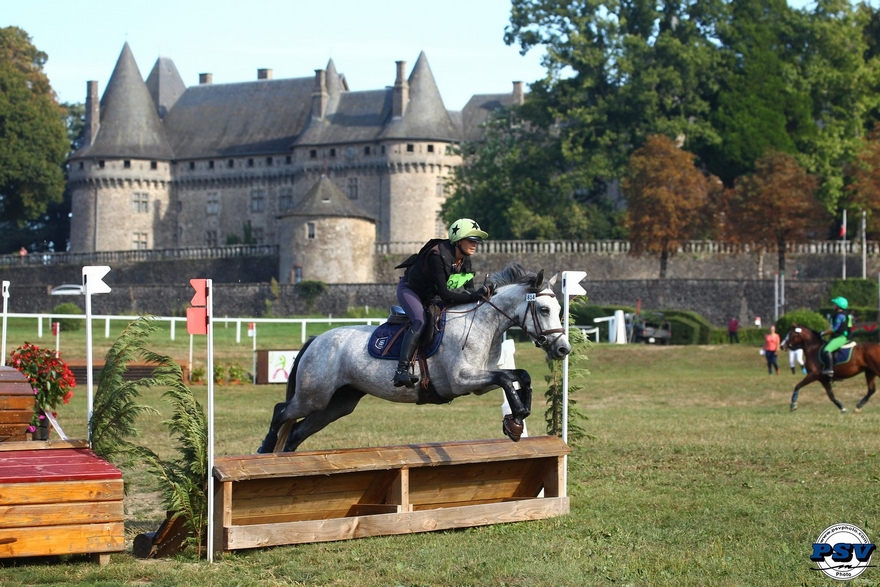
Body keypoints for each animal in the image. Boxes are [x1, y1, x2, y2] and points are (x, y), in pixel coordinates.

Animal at [258, 266, 572, 454]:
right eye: (544, 309)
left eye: (559, 309)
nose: (563, 349)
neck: (482, 323)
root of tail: (315, 340)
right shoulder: (461, 380)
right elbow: (507, 378)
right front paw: (515, 419)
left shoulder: (480, 381)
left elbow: (520, 376)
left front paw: (518, 418)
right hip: (314, 396)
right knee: (280, 411)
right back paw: (265, 448)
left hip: (337, 404)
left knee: (296, 432)